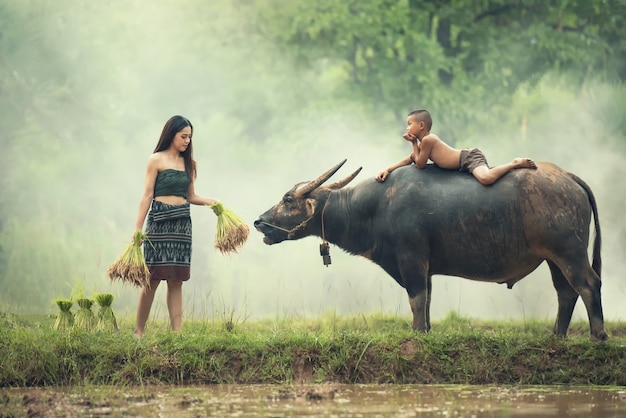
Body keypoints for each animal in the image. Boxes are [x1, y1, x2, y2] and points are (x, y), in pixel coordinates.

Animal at [252, 160, 604, 340]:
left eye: (287, 199)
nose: (258, 222)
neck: (374, 207)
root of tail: (569, 178)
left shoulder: (411, 259)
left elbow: (416, 299)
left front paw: (417, 332)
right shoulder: (426, 266)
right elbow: (428, 299)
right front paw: (427, 330)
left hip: (569, 252)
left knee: (588, 284)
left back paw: (597, 335)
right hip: (553, 258)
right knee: (565, 292)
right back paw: (557, 335)